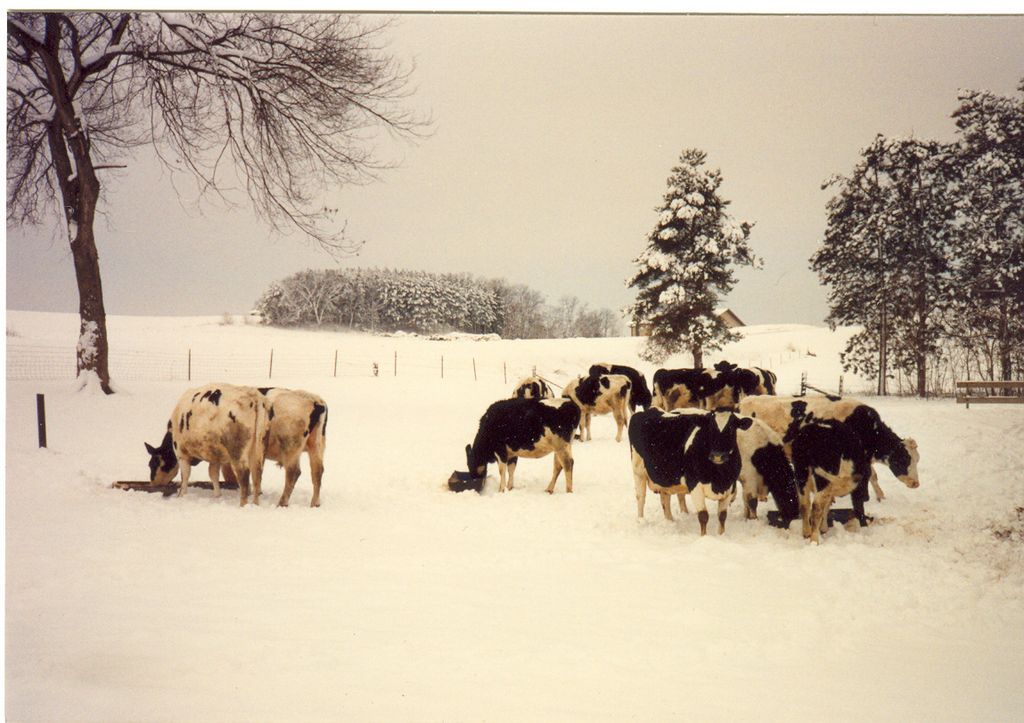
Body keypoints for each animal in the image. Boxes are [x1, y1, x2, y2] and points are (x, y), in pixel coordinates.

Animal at [628, 407, 753, 535]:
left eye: (731, 429)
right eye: (710, 428)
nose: (717, 456)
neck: (719, 477)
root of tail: (650, 410)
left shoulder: (730, 487)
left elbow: (722, 516)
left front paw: (721, 535)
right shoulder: (695, 485)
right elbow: (703, 516)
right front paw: (704, 537)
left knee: (665, 499)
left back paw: (670, 521)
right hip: (638, 471)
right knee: (640, 497)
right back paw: (641, 521)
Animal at [737, 395, 921, 502]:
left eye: (917, 460)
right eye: (904, 459)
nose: (916, 483)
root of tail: (745, 400)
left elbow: (872, 475)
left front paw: (880, 495)